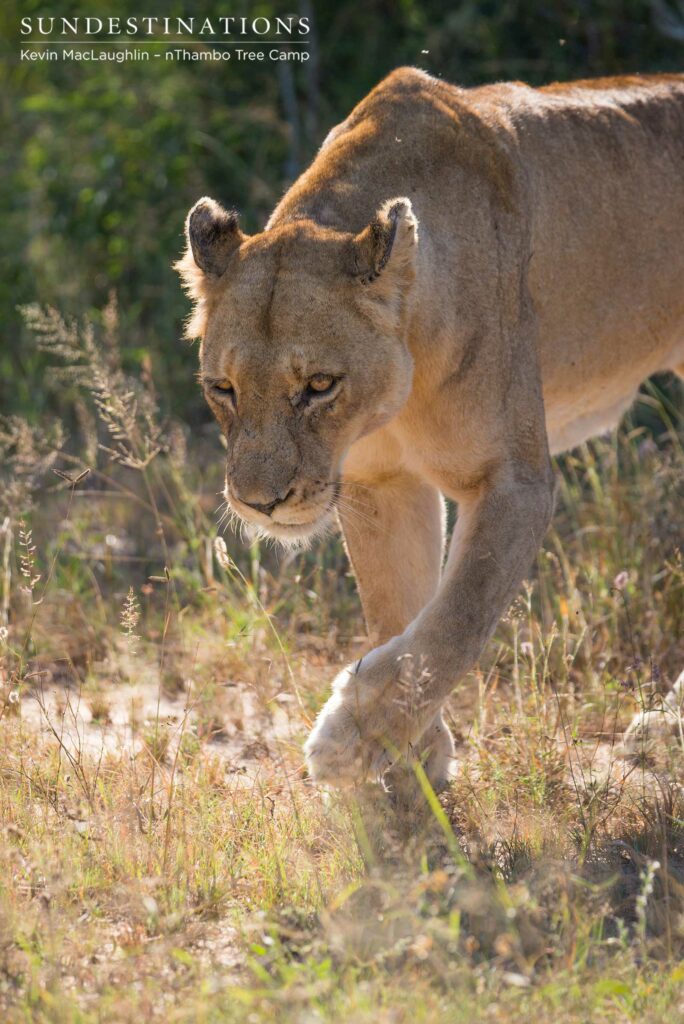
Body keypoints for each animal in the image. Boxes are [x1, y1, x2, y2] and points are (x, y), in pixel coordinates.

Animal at [176, 67, 684, 792]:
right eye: (224, 389)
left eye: (318, 386)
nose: (259, 504)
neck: (397, 392)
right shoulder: (378, 486)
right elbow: (400, 611)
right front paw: (411, 758)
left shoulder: (512, 481)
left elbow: (458, 615)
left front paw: (349, 739)